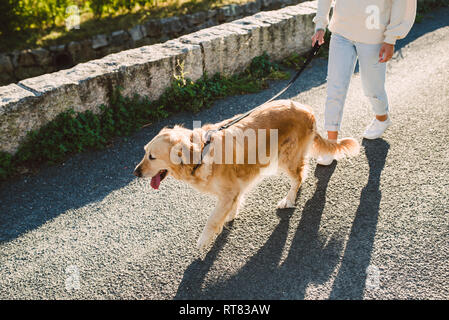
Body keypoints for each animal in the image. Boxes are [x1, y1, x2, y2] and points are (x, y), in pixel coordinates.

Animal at [132, 100, 356, 250]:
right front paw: (230, 214)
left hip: (287, 157)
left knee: (299, 177)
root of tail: (306, 109)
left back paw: (289, 199)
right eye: (144, 152)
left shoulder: (228, 191)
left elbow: (212, 219)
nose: (135, 172)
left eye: (152, 157)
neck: (201, 153)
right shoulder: (234, 187)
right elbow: (232, 205)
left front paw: (203, 240)